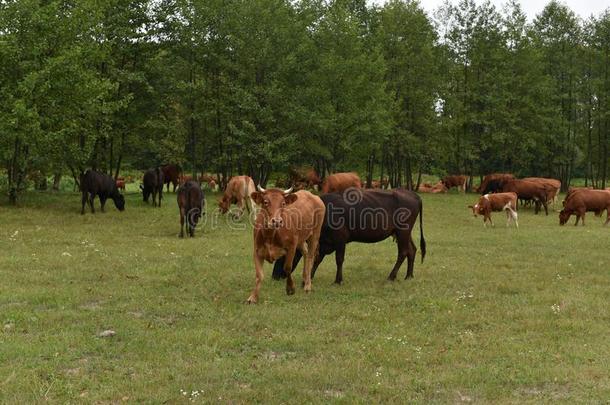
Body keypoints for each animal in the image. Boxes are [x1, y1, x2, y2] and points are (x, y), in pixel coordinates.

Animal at [270, 188, 422, 282]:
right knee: (412, 250)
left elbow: (339, 259)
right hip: (403, 233)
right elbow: (317, 259)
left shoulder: (340, 239)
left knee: (403, 252)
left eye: (283, 255)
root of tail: (412, 194)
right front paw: (310, 277)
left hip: (403, 231)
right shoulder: (324, 242)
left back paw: (392, 276)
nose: (274, 276)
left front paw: (338, 280)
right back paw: (409, 275)